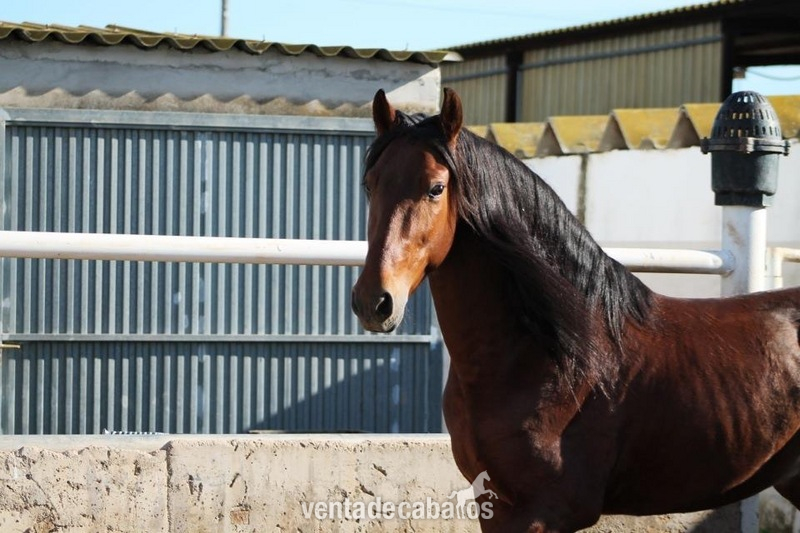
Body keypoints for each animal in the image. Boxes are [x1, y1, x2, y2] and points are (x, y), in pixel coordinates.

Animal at [350, 88, 800, 532]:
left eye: (436, 188)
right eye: (370, 185)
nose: (374, 301)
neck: (552, 355)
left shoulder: (543, 513)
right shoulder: (494, 504)